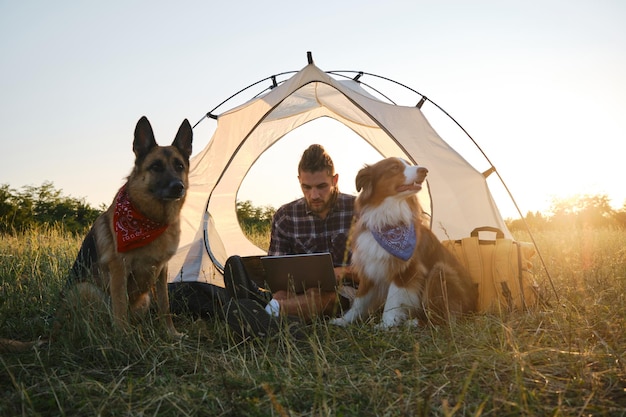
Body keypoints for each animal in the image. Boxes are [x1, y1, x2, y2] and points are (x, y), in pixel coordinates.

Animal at [332, 157, 472, 328]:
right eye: (394, 167)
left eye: (409, 164)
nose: (424, 170)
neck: (388, 222)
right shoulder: (369, 267)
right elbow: (359, 299)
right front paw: (345, 320)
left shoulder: (406, 270)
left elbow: (392, 300)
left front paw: (386, 324)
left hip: (440, 270)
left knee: (442, 321)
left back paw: (413, 323)